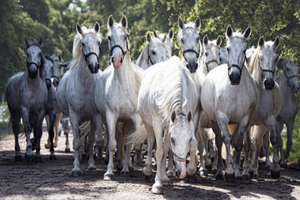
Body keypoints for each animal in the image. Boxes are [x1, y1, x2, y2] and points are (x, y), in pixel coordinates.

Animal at [56, 21, 103, 176]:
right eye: (82, 44)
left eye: (98, 42)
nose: (94, 66)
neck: (85, 85)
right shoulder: (74, 115)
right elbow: (76, 142)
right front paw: (76, 168)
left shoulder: (96, 115)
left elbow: (93, 140)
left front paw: (92, 165)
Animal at [94, 15, 145, 180]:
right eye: (109, 37)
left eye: (126, 36)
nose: (116, 60)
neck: (123, 84)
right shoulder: (111, 116)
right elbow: (112, 143)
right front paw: (109, 171)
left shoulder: (135, 118)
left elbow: (134, 143)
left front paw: (129, 166)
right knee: (117, 138)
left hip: (128, 120)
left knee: (127, 141)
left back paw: (126, 166)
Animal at [134, 56, 199, 194]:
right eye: (173, 140)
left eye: (188, 139)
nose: (181, 173)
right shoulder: (157, 122)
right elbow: (159, 152)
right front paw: (157, 184)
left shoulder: (187, 120)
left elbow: (193, 145)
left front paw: (191, 170)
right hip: (149, 124)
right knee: (151, 141)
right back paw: (148, 171)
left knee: (165, 146)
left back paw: (164, 176)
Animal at [202, 26, 260, 183]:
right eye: (227, 48)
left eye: (244, 50)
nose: (234, 76)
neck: (235, 90)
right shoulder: (222, 117)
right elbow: (226, 140)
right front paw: (228, 171)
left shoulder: (244, 119)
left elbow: (238, 143)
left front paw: (237, 173)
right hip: (215, 121)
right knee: (219, 141)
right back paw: (219, 172)